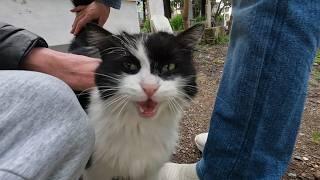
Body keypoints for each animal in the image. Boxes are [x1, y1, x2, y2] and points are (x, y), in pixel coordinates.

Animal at [70, 9, 202, 180]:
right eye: (129, 65)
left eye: (169, 67)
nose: (150, 88)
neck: (140, 127)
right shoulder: (95, 170)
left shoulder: (151, 169)